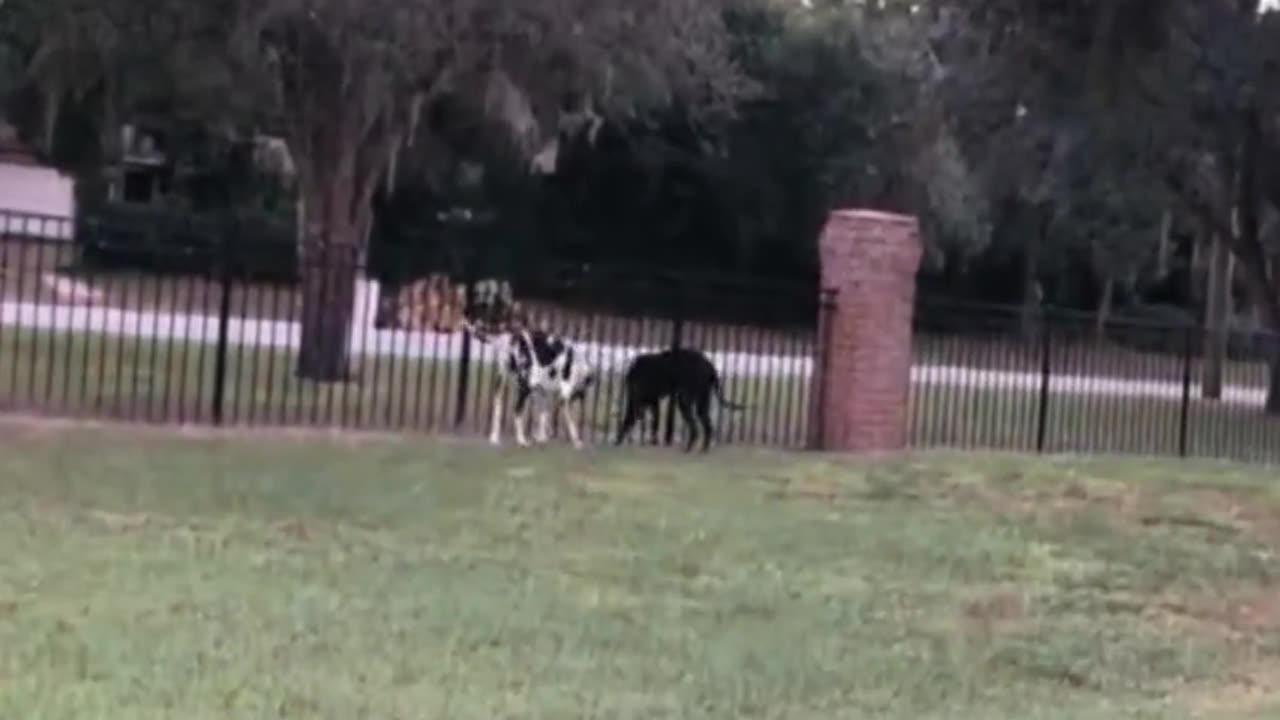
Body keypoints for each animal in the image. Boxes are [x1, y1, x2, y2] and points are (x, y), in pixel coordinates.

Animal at [465, 322, 593, 445]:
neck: (578, 365)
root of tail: (513, 338)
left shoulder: (543, 393)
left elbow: (543, 416)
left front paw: (541, 437)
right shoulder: (563, 397)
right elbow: (570, 422)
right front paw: (576, 441)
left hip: (502, 384)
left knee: (498, 408)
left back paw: (494, 438)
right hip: (525, 387)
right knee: (517, 412)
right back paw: (521, 440)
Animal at [614, 345, 747, 448]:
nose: (639, 413)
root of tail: (710, 366)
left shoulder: (648, 401)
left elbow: (652, 423)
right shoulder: (649, 402)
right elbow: (642, 422)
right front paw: (619, 441)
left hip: (684, 400)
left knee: (695, 428)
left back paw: (688, 449)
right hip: (701, 401)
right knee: (707, 426)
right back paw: (701, 450)